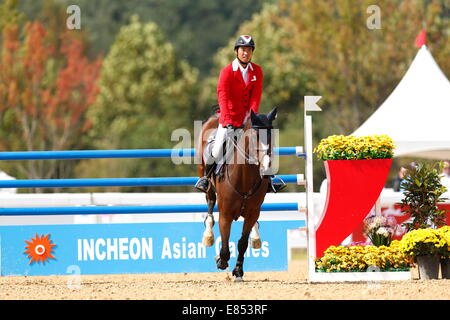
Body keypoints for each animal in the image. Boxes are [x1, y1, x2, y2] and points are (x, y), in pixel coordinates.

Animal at [197, 107, 278, 280]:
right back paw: (208, 234)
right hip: (205, 178)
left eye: (272, 136)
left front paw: (238, 271)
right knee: (209, 201)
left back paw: (255, 236)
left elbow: (242, 243)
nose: (266, 169)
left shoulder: (252, 213)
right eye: (254, 137)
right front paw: (220, 260)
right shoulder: (225, 214)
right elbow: (225, 243)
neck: (244, 177)